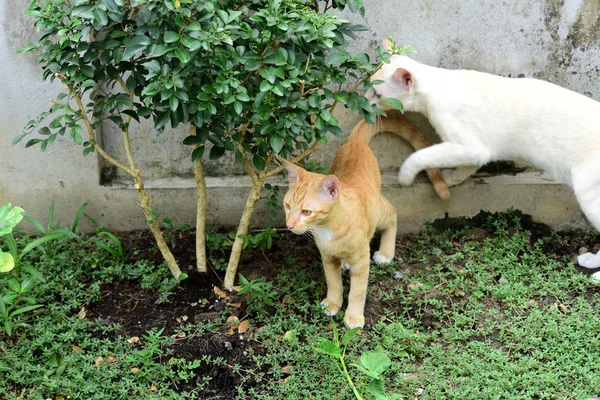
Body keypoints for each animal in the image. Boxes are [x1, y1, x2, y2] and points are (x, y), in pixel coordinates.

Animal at [284, 111, 448, 326]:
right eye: (287, 206)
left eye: (306, 212)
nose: (289, 225)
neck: (327, 229)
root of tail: (355, 143)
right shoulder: (327, 257)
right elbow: (333, 282)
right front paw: (333, 303)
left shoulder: (362, 261)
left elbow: (357, 291)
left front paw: (353, 317)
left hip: (379, 211)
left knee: (392, 212)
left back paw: (386, 253)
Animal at [366, 39, 600, 268]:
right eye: (368, 87)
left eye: (377, 94)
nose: (363, 99)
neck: (436, 87)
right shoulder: (475, 153)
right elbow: (464, 168)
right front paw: (448, 180)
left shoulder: (472, 147)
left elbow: (421, 156)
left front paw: (406, 176)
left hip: (588, 193)